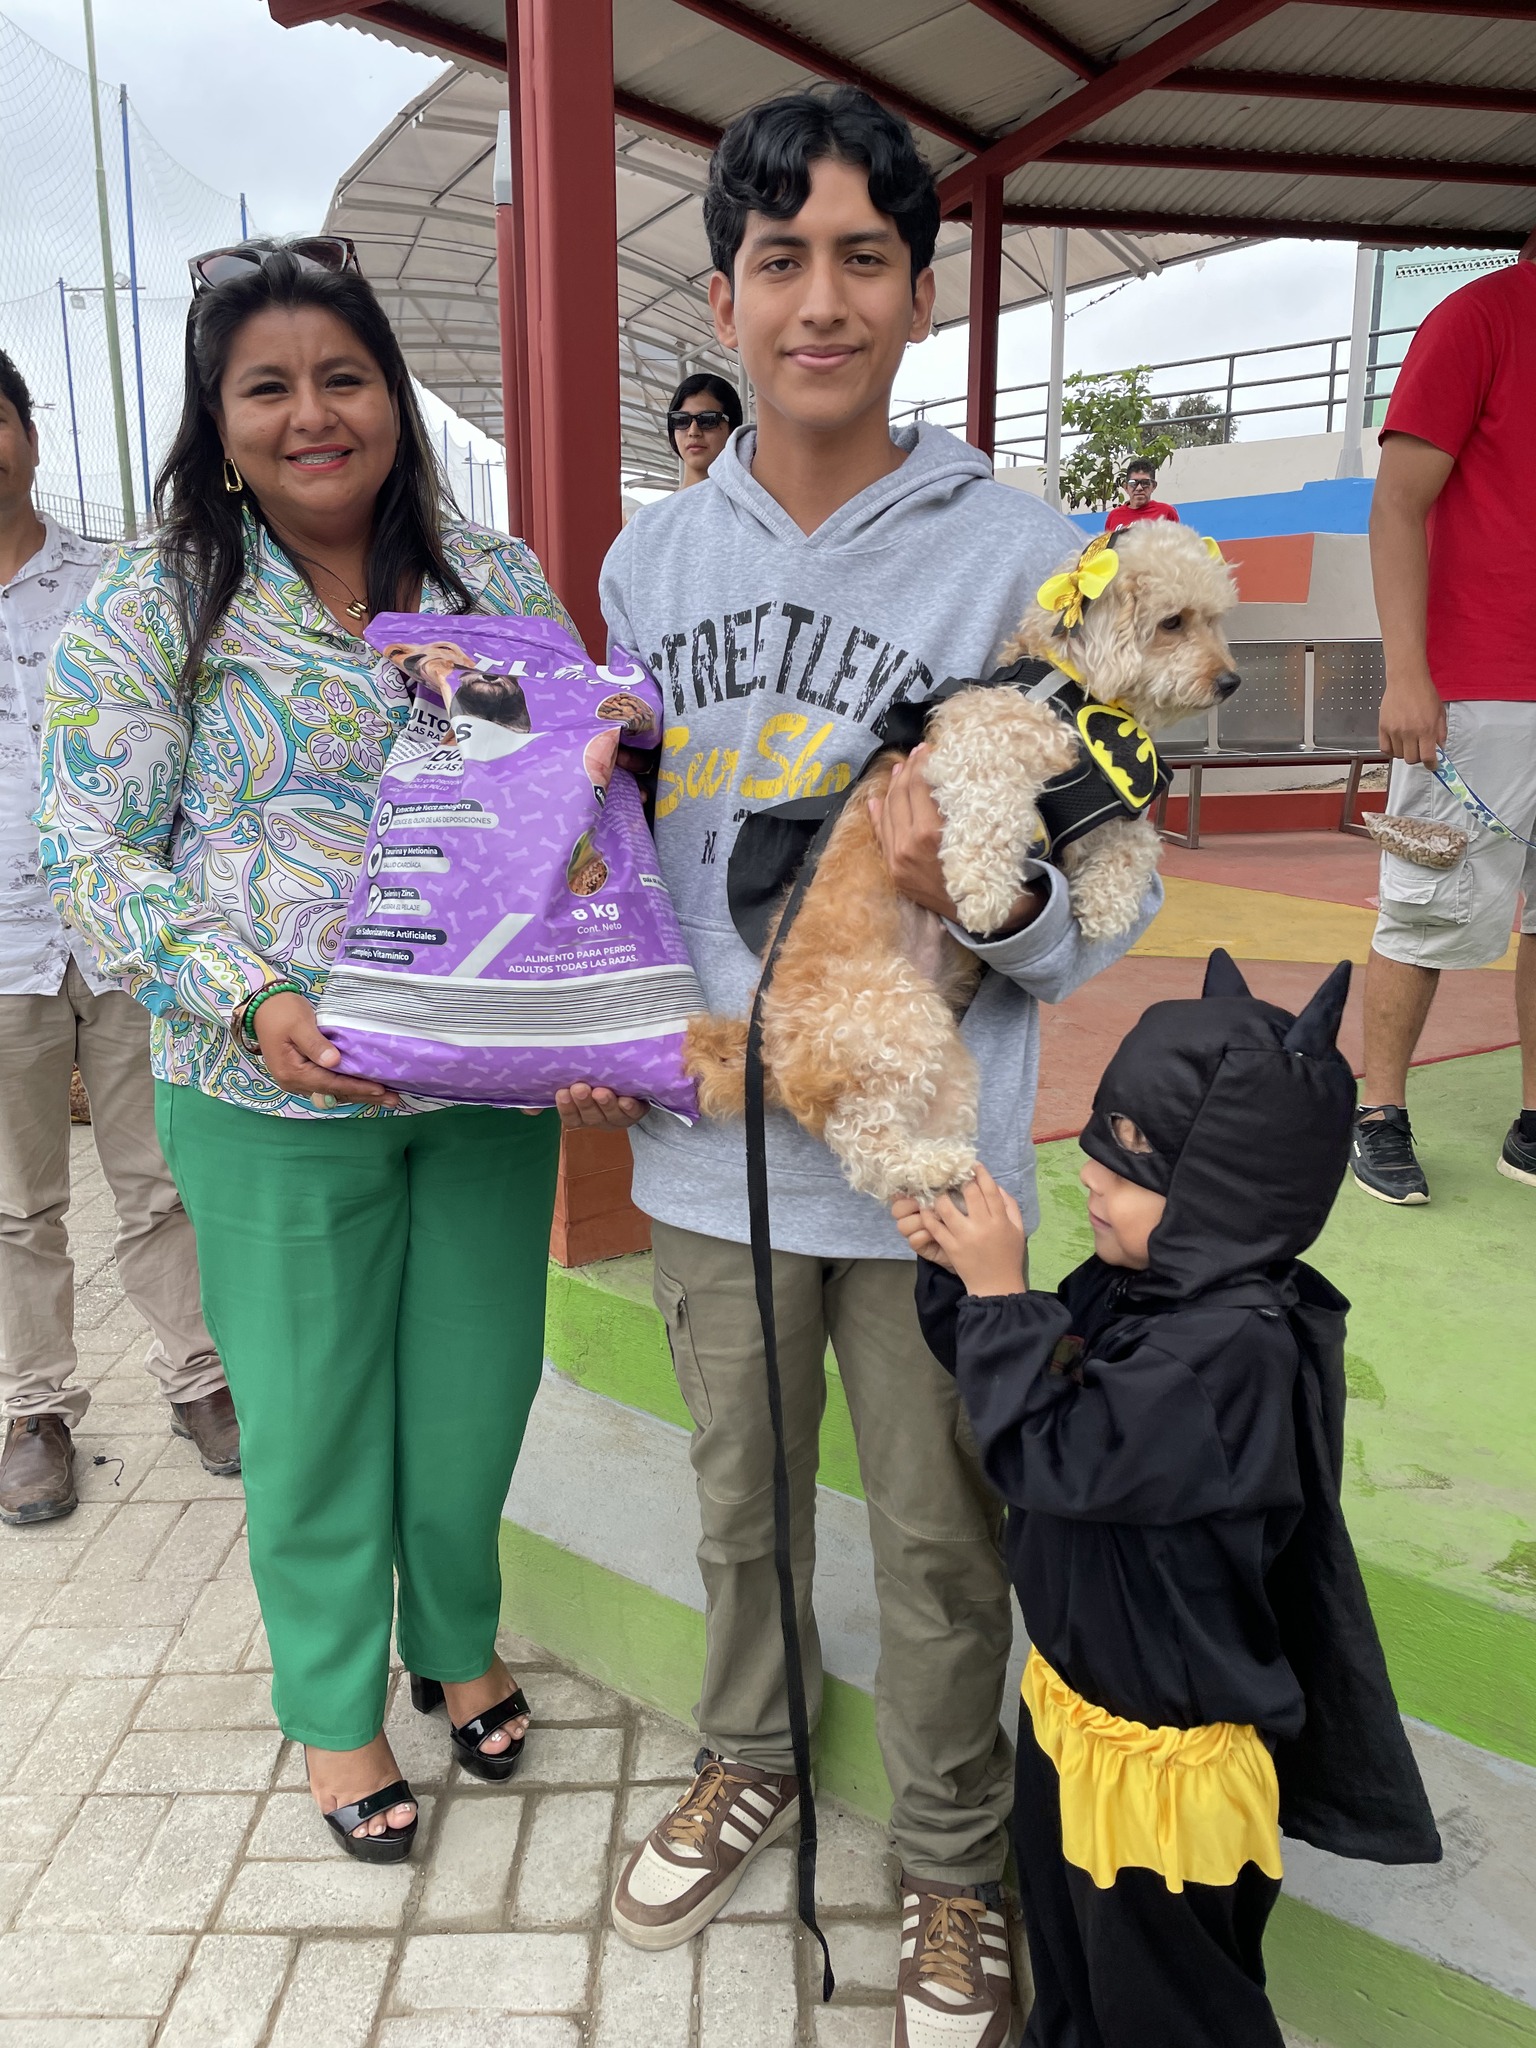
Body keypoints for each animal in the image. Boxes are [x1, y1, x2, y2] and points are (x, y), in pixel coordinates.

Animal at [683, 520, 1240, 1204]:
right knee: (864, 1145)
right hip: (897, 1014)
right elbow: (989, 809)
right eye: (1173, 622)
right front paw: (983, 892)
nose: (1230, 681)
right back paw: (928, 1168)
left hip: (944, 1062)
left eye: (1216, 620)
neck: (1069, 689)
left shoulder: (1092, 812)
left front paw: (1107, 905)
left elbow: (1133, 844)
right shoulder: (978, 745)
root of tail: (770, 1055)